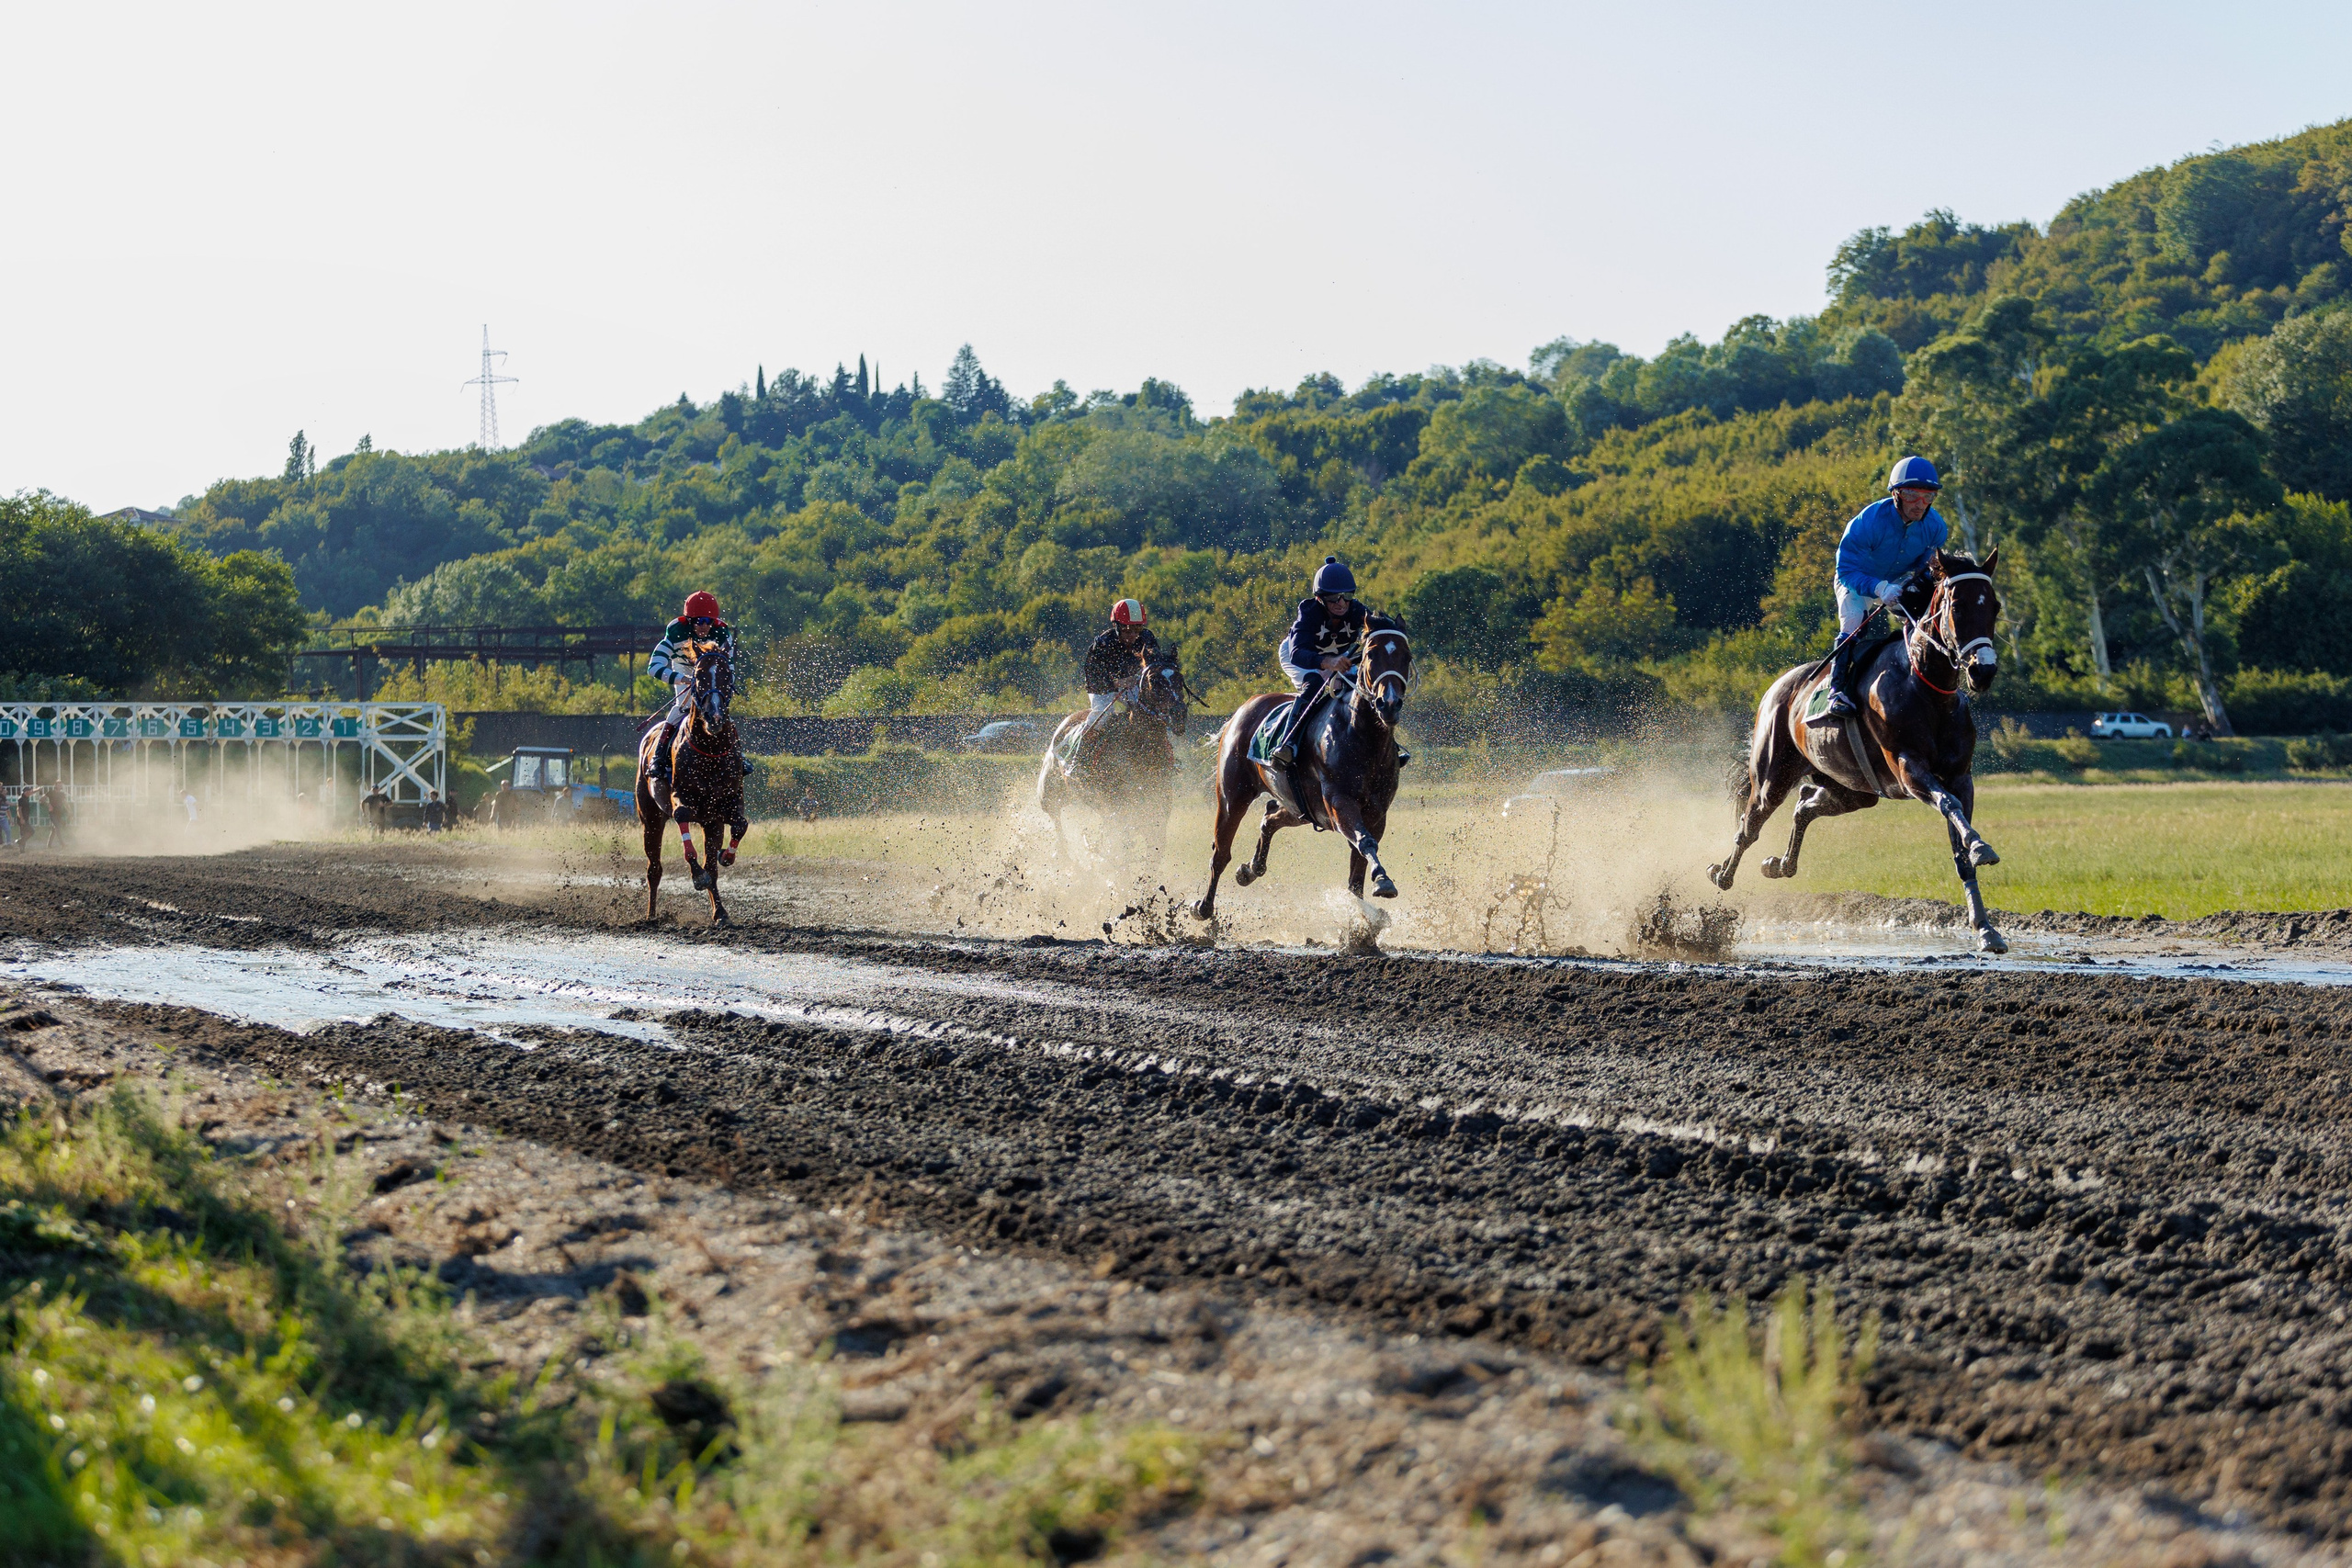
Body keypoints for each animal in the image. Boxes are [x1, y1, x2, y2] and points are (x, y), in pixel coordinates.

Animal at [635, 637, 748, 924]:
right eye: (698, 677)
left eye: (727, 675)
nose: (715, 718)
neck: (710, 749)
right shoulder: (681, 799)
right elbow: (685, 822)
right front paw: (697, 876)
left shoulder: (726, 804)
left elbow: (740, 825)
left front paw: (726, 855)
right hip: (650, 818)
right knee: (654, 868)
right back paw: (651, 914)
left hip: (710, 823)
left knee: (712, 869)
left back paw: (720, 912)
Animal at [1037, 654, 1189, 869]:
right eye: (1153, 680)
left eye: (1180, 678)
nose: (1178, 714)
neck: (1138, 749)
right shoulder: (1118, 812)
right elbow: (1120, 854)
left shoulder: (1156, 814)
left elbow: (1151, 856)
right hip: (1050, 791)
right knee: (1055, 816)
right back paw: (1065, 857)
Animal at [1194, 618, 1411, 920]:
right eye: (1370, 654)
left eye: (1407, 656)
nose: (1388, 704)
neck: (1362, 736)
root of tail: (1243, 708)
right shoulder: (1339, 803)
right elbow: (1364, 841)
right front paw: (1383, 880)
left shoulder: (1376, 812)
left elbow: (1357, 874)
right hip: (1233, 795)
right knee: (1221, 852)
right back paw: (1204, 908)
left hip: (1300, 807)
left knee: (1270, 817)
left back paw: (1250, 870)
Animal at [1707, 550, 2009, 952]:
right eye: (1957, 606)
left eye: (1994, 606)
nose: (1983, 671)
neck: (1925, 690)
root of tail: (1777, 686)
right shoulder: (1908, 769)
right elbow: (1949, 804)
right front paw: (1981, 846)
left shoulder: (1960, 777)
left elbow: (1959, 844)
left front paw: (1986, 929)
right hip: (1772, 776)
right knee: (1749, 825)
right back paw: (1721, 873)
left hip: (1854, 790)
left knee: (1804, 803)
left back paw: (1779, 864)